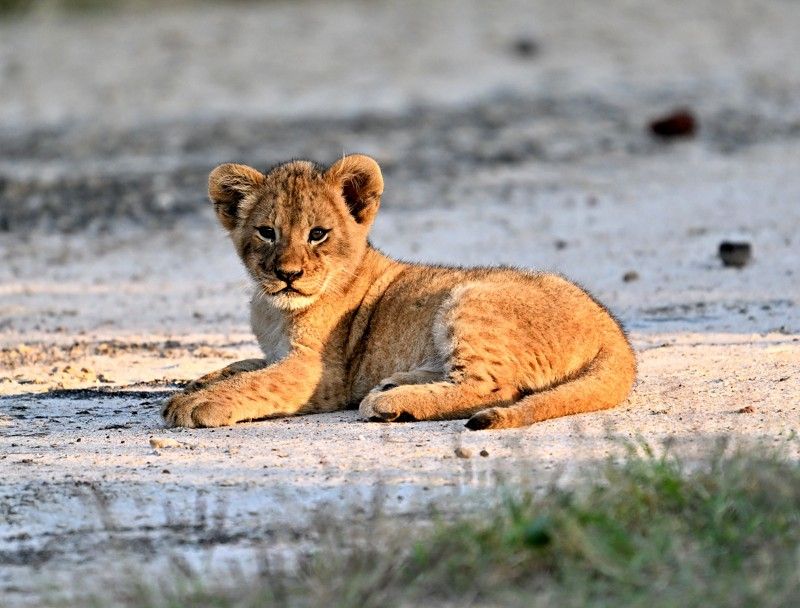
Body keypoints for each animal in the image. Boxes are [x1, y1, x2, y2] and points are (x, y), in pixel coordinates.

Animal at [162, 154, 636, 430]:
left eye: (318, 234)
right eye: (266, 232)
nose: (288, 275)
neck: (273, 309)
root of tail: (612, 331)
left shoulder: (320, 372)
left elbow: (259, 381)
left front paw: (197, 403)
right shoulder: (278, 352)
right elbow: (244, 366)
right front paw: (199, 383)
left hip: (470, 299)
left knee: (496, 387)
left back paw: (390, 402)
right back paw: (395, 384)